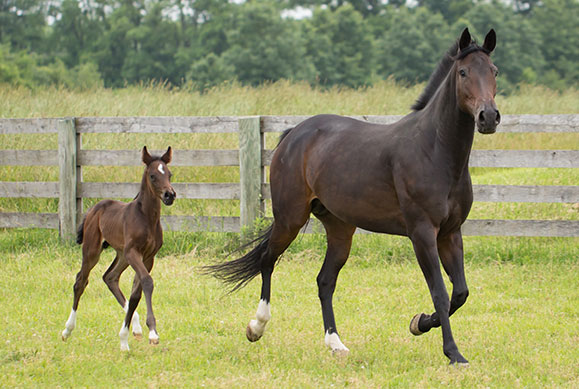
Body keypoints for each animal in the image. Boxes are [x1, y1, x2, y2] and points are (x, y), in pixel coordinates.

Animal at [60, 146, 177, 352]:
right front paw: (153, 333)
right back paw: (67, 330)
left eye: (169, 174)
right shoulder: (134, 253)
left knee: (110, 277)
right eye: (153, 175)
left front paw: (125, 337)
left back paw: (135, 328)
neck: (146, 218)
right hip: (93, 250)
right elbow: (147, 282)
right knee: (80, 281)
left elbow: (136, 293)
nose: (169, 195)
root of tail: (93, 209)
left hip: (122, 255)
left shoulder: (148, 257)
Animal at [210, 28, 502, 364]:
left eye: (494, 71)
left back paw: (335, 343)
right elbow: (440, 293)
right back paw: (256, 327)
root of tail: (294, 135)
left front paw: (418, 323)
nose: (488, 117)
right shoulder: (422, 233)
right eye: (463, 72)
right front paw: (453, 353)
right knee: (268, 261)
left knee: (324, 281)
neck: (434, 150)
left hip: (340, 229)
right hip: (289, 219)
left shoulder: (450, 233)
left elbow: (460, 293)